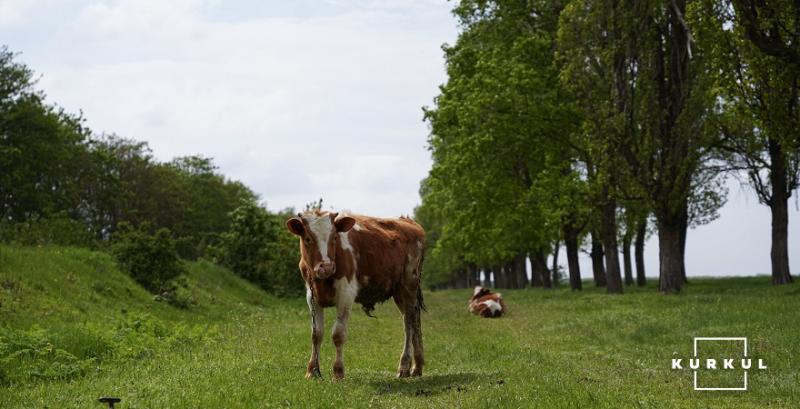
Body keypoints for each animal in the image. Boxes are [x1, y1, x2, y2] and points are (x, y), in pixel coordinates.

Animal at [286, 210, 424, 380]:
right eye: (307, 239)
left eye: (334, 237)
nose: (326, 267)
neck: (323, 281)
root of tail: (409, 222)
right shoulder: (312, 296)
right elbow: (316, 334)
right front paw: (312, 370)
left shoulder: (346, 294)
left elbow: (338, 334)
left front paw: (338, 372)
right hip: (399, 290)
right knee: (414, 319)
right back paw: (417, 366)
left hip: (408, 285)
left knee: (408, 325)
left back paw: (404, 366)